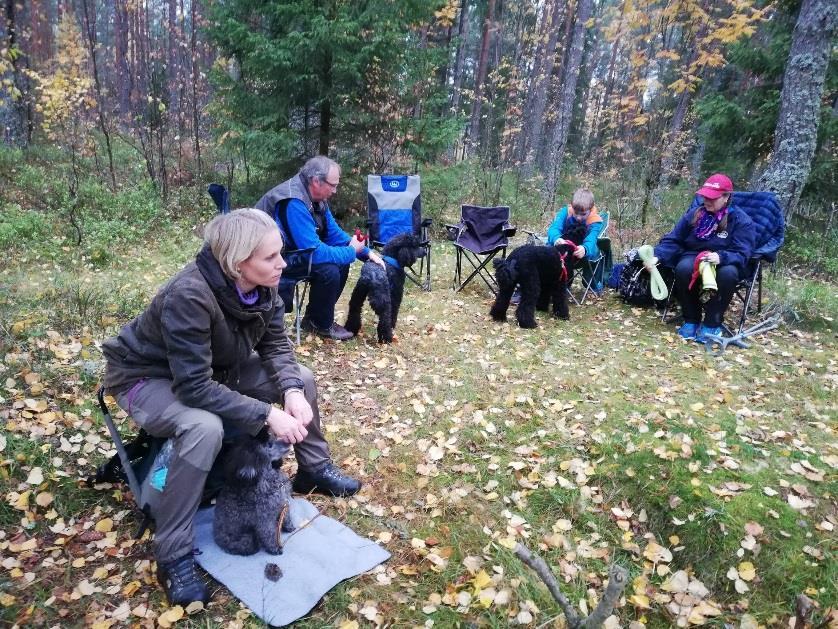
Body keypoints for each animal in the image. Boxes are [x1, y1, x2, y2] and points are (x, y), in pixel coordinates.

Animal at [213, 426, 296, 556]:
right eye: (269, 445)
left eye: (273, 436)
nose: (289, 442)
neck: (271, 480)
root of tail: (216, 535)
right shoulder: (264, 518)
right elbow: (269, 533)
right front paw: (275, 547)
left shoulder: (283, 503)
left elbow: (287, 517)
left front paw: (289, 527)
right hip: (242, 538)